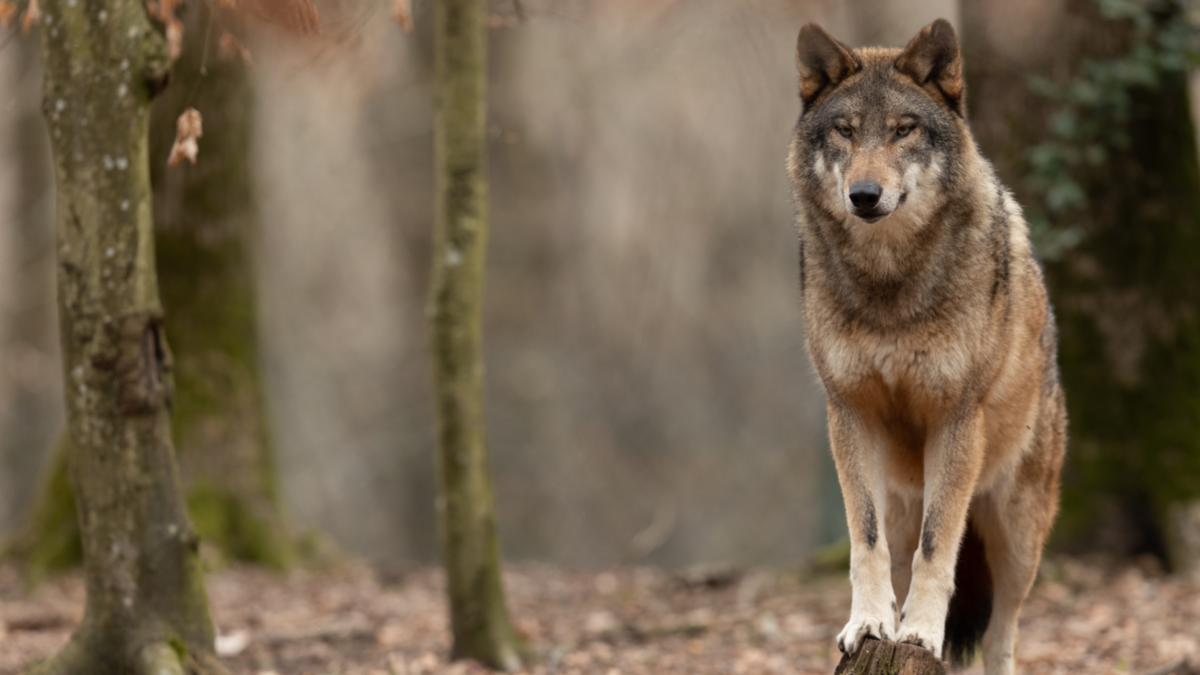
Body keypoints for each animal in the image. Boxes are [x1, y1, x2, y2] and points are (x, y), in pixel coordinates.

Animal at [787, 19, 1068, 674]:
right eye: (845, 131)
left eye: (902, 130)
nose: (865, 194)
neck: (890, 284)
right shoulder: (850, 413)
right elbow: (864, 543)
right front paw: (869, 625)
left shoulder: (955, 418)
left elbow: (938, 549)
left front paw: (918, 635)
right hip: (903, 501)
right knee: (895, 553)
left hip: (1015, 537)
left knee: (1002, 635)